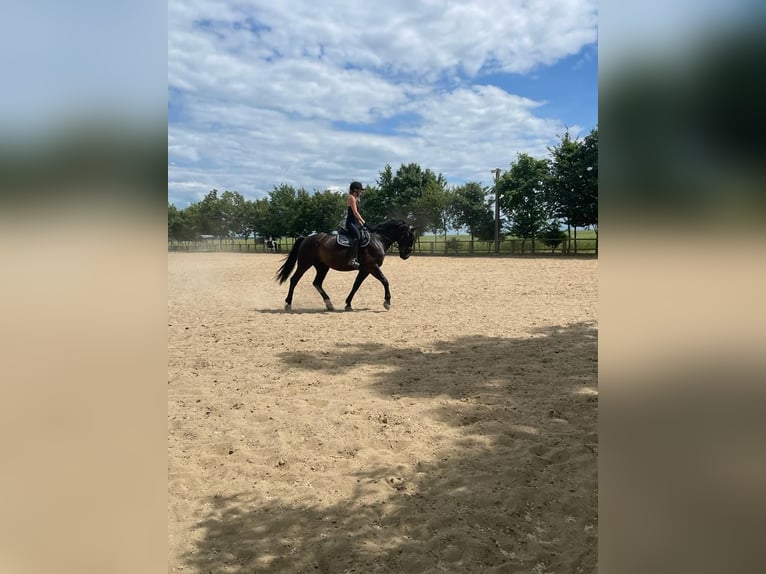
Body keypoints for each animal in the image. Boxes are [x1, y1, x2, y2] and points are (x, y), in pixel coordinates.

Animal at [278, 219, 416, 310]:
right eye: (410, 237)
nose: (406, 255)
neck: (378, 240)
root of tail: (306, 238)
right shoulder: (372, 266)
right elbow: (385, 280)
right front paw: (387, 302)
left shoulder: (365, 269)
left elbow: (356, 285)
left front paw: (348, 304)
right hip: (304, 264)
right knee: (294, 279)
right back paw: (288, 304)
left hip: (323, 267)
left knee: (317, 283)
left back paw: (329, 304)